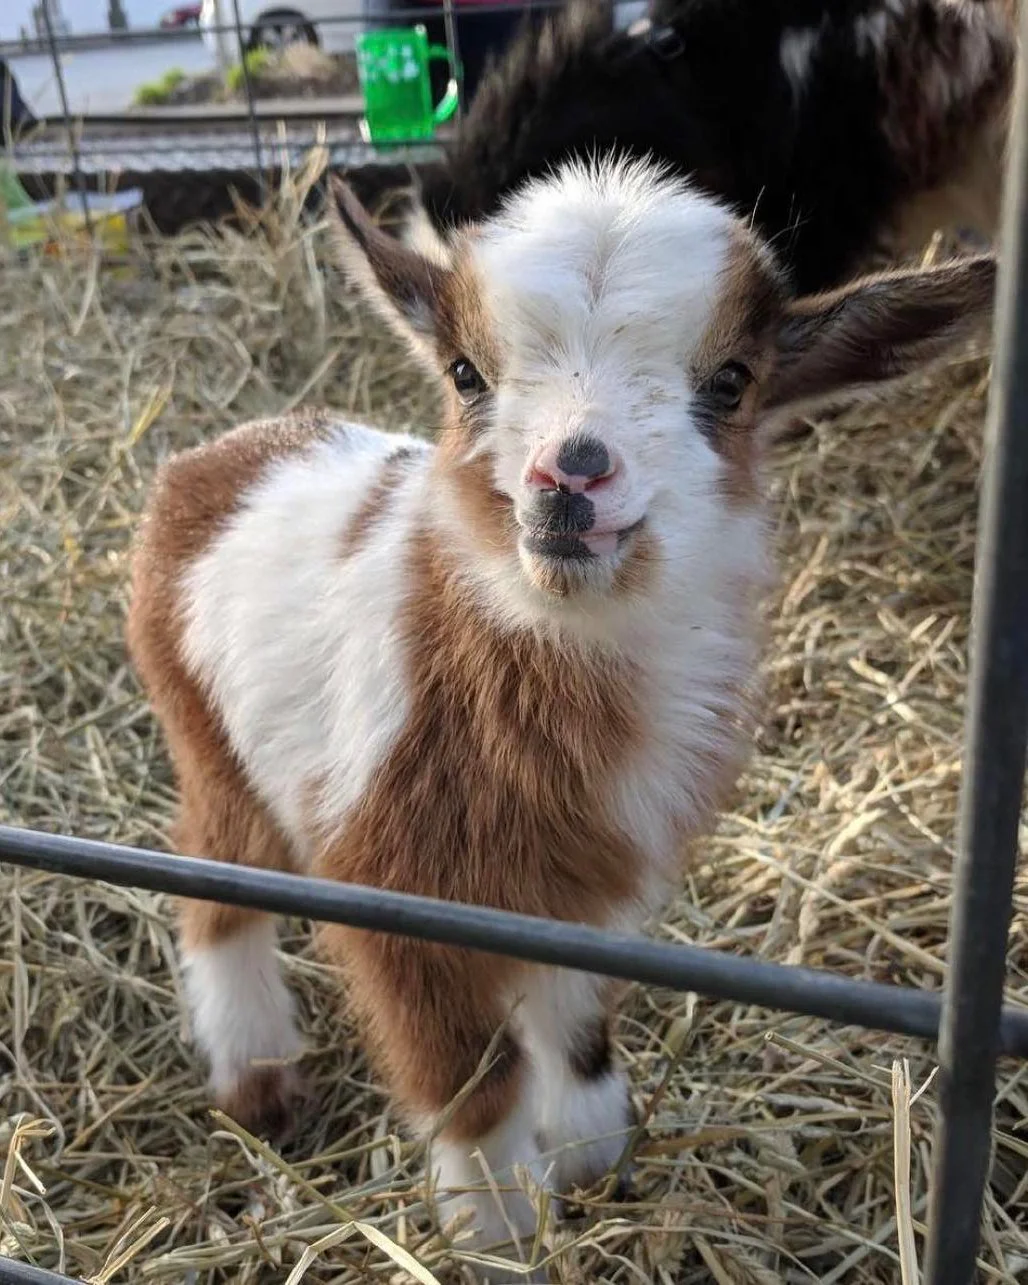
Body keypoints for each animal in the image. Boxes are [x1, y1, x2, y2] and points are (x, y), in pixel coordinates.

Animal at [127, 155, 994, 1276]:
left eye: (730, 381)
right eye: (465, 374)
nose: (571, 473)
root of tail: (219, 457)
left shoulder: (591, 893)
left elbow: (575, 1027)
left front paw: (589, 1156)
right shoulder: (397, 894)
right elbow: (469, 1076)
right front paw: (498, 1225)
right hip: (207, 733)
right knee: (214, 885)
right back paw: (260, 1081)